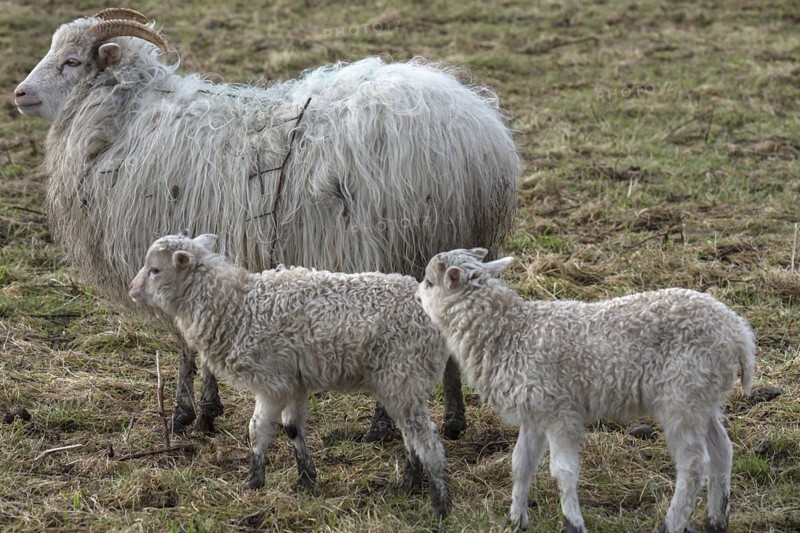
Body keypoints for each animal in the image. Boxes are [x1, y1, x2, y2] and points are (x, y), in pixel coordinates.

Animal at [14, 8, 521, 438]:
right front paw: (208, 410)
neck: (125, 118)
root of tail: (482, 135)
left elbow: (185, 342)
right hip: (446, 241)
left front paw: (184, 415)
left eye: (72, 61)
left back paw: (381, 426)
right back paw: (453, 421)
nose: (18, 94)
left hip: (400, 242)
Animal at [128, 232, 453, 519]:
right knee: (411, 435)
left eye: (155, 269)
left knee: (426, 440)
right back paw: (408, 484)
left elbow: (257, 430)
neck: (234, 305)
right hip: (401, 383)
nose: (132, 290)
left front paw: (254, 482)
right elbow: (293, 427)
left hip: (403, 375)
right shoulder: (294, 381)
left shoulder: (271, 382)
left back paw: (440, 505)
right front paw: (306, 478)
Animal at [416, 248, 756, 533]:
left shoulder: (560, 412)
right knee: (722, 450)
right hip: (704, 398)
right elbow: (521, 464)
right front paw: (515, 519)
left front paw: (573, 523)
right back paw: (716, 520)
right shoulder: (534, 411)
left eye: (429, 282)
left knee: (694, 463)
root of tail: (738, 332)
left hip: (682, 396)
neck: (511, 333)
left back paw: (672, 524)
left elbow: (562, 471)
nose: (416, 295)